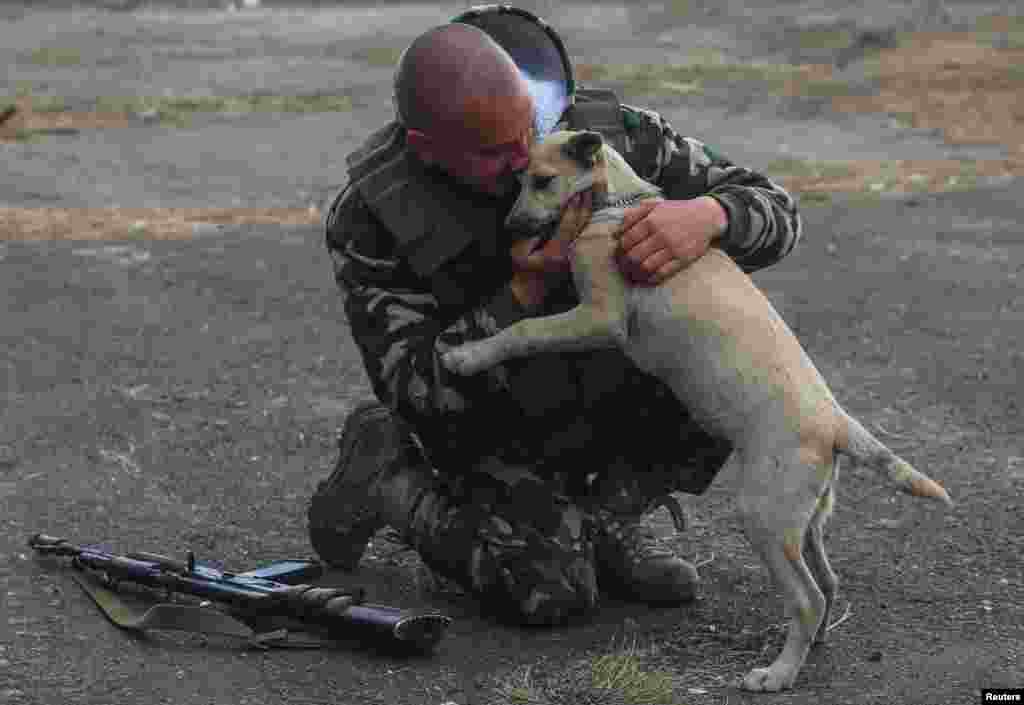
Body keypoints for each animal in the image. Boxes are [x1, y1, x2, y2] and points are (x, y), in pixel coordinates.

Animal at [444, 129, 954, 692]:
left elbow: (523, 329)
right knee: (826, 583)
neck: (617, 204)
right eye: (520, 180)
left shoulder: (599, 318)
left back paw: (777, 673)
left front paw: (466, 356)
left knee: (807, 597)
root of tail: (835, 422)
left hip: (764, 513)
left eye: (542, 181)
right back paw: (809, 646)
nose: (510, 229)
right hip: (804, 518)